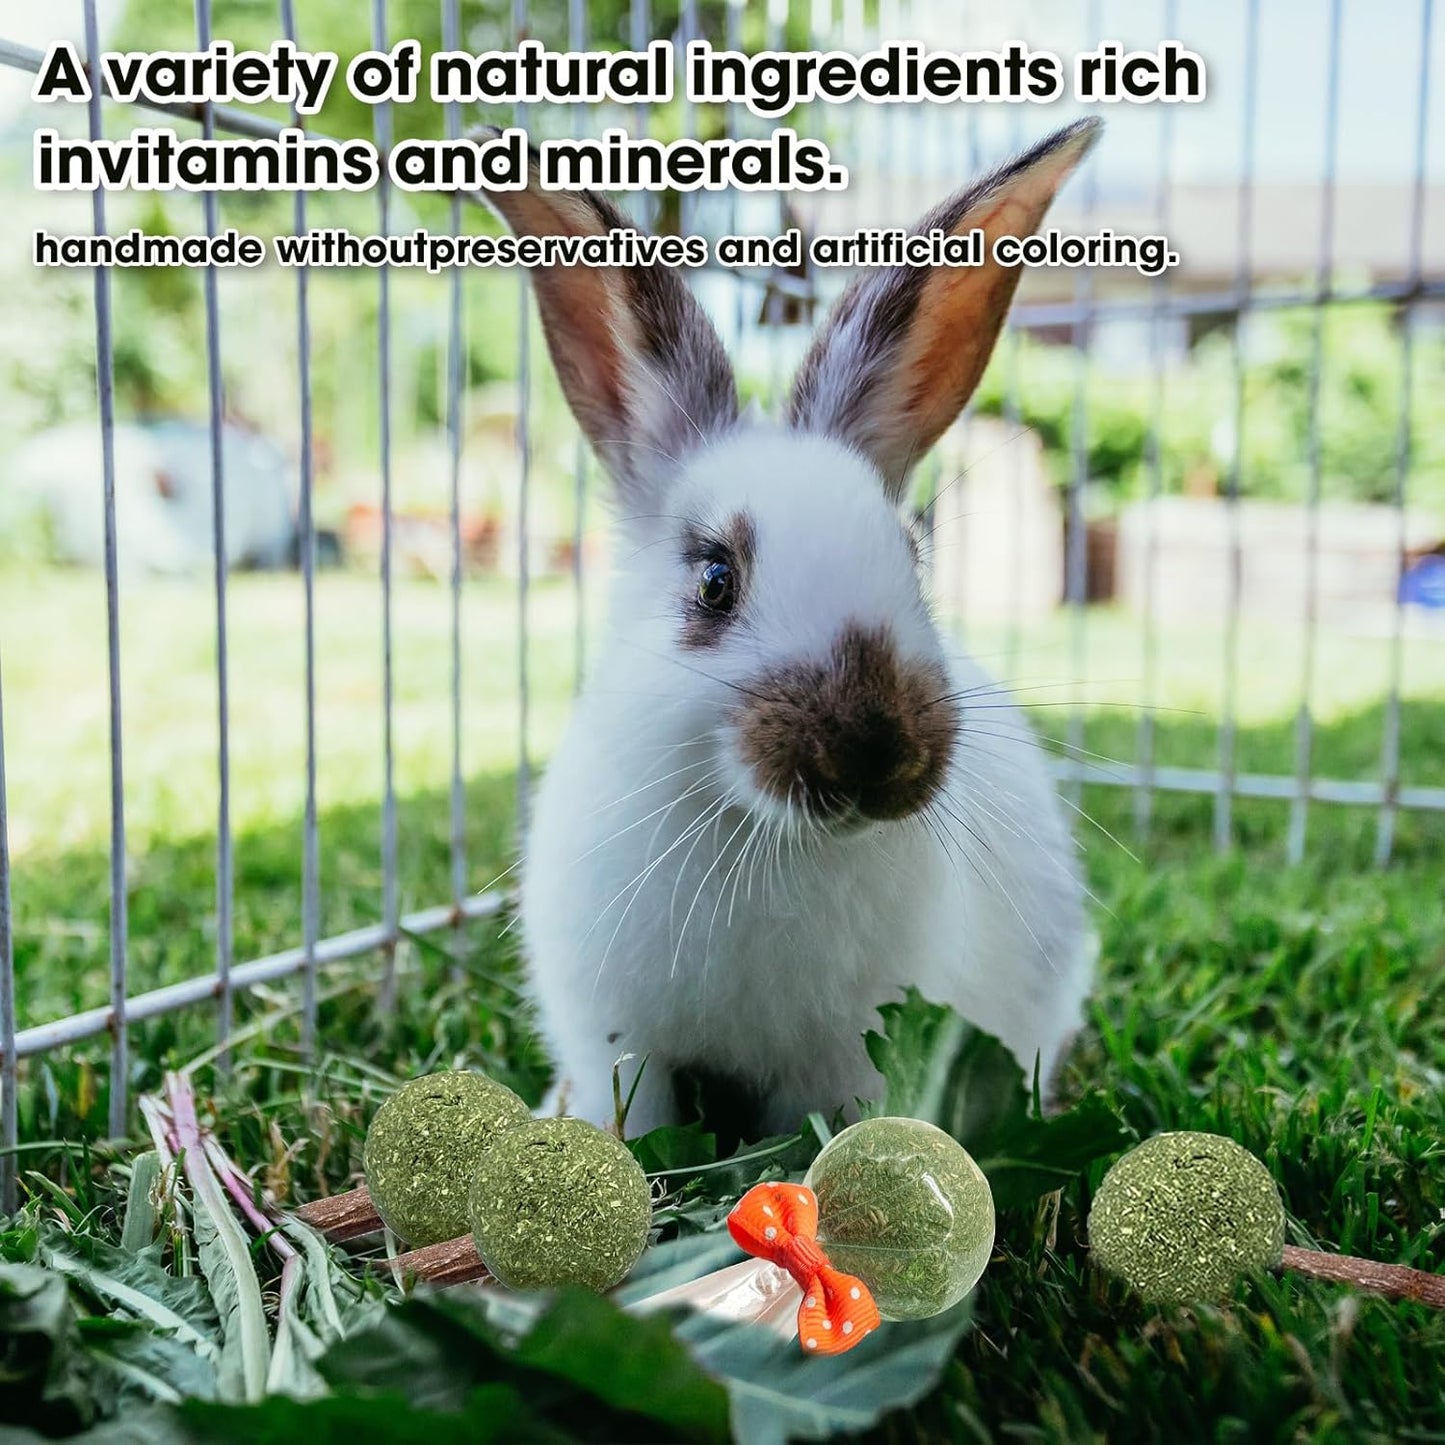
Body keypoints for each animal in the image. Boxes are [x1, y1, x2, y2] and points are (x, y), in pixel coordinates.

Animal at [485, 118, 1102, 1139]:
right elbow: (634, 1118)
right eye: (713, 580)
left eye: (912, 558)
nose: (872, 750)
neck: (761, 836)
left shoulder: (843, 1061)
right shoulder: (616, 1035)